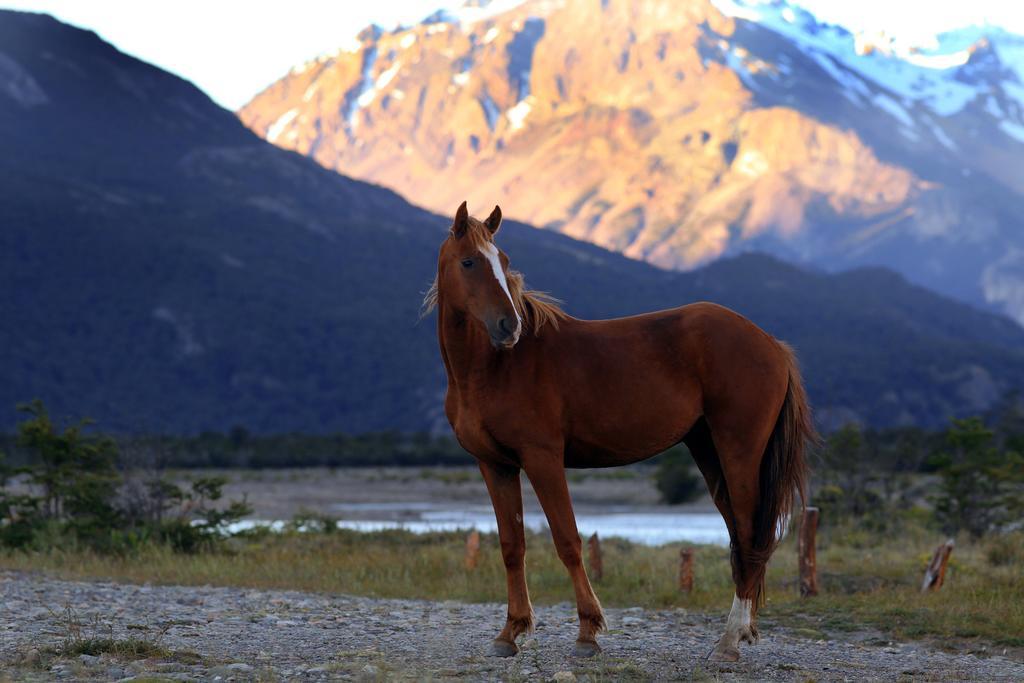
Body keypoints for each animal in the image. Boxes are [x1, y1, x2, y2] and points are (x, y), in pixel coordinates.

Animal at [423, 202, 815, 663]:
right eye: (469, 262)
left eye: (503, 262)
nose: (509, 326)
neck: (494, 369)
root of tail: (771, 343)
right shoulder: (495, 466)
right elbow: (511, 545)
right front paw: (511, 632)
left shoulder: (543, 459)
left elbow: (568, 541)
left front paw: (587, 633)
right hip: (708, 452)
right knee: (740, 534)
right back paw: (744, 631)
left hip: (739, 452)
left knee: (752, 533)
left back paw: (729, 640)